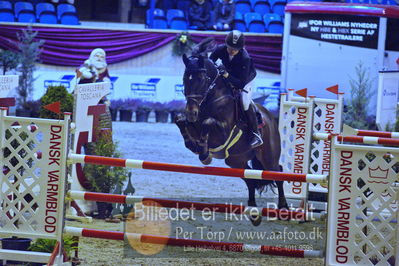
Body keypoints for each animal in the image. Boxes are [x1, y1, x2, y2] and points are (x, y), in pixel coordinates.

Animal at [177, 40, 290, 225]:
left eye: (202, 79)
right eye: (185, 79)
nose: (192, 112)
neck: (211, 98)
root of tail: (271, 118)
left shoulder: (222, 133)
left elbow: (208, 124)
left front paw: (204, 154)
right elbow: (180, 121)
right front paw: (195, 146)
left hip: (268, 157)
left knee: (278, 172)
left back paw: (284, 208)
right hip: (235, 161)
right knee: (250, 180)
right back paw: (254, 213)